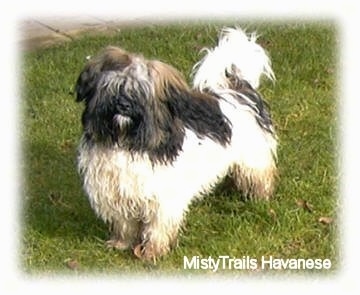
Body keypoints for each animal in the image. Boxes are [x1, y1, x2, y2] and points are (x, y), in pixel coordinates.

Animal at [76, 26, 278, 260]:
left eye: (140, 91)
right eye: (113, 87)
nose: (123, 105)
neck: (126, 140)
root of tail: (238, 89)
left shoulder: (163, 197)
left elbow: (157, 227)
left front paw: (152, 252)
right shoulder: (116, 190)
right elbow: (124, 222)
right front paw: (121, 243)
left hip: (254, 156)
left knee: (260, 175)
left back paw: (260, 198)